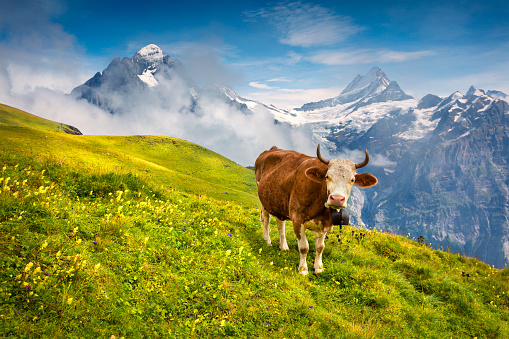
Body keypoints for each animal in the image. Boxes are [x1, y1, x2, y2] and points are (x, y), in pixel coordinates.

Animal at [254, 145, 378, 276]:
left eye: (352, 180)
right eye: (327, 176)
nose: (337, 199)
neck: (321, 211)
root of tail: (272, 148)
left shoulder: (326, 223)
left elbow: (320, 247)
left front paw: (318, 268)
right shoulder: (297, 218)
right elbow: (304, 247)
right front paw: (303, 270)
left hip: (279, 202)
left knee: (280, 223)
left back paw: (283, 246)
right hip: (263, 200)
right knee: (266, 220)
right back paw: (268, 241)